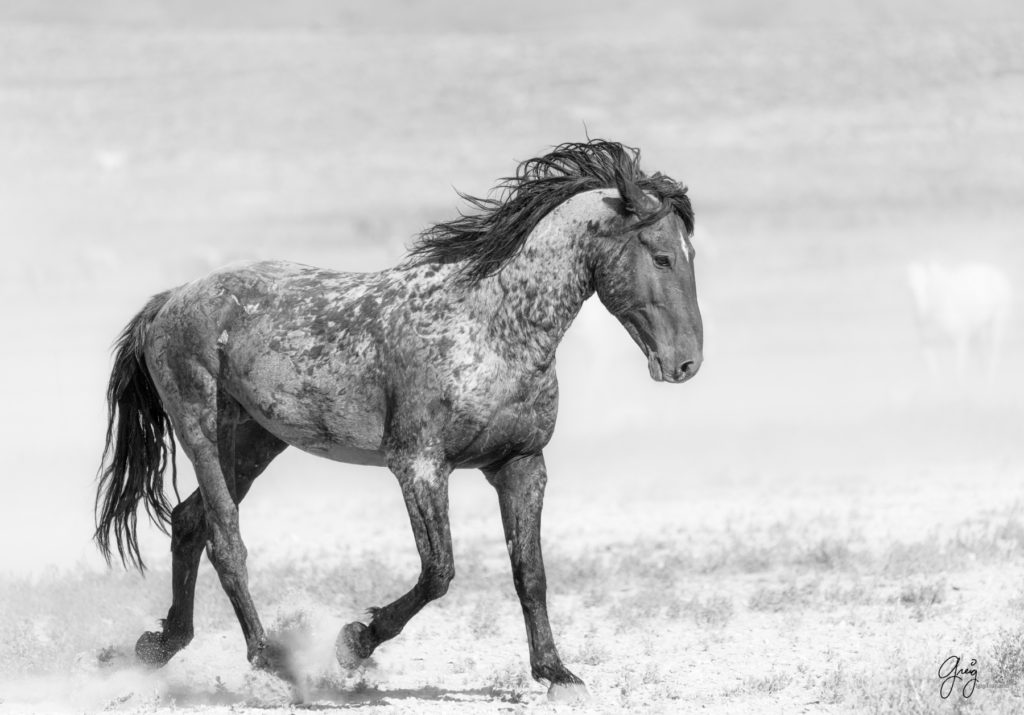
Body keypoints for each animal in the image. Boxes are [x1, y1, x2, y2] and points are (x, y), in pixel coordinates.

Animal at [96, 138, 704, 696]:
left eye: (691, 255)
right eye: (662, 256)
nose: (686, 363)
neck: (492, 328)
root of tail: (172, 298)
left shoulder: (522, 465)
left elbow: (530, 574)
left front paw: (556, 673)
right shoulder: (419, 466)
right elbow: (439, 572)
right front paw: (354, 642)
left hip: (251, 441)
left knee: (188, 522)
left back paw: (160, 645)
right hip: (199, 426)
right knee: (225, 539)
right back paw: (270, 658)